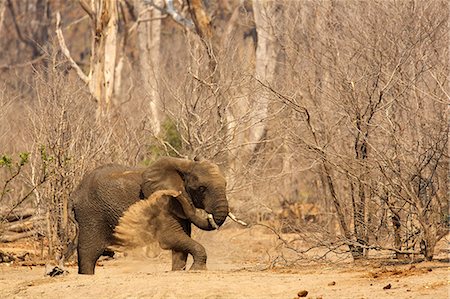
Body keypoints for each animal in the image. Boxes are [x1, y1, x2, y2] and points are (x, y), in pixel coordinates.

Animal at [70, 158, 229, 276]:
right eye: (202, 188)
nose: (177, 194)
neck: (184, 165)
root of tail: (75, 193)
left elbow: (181, 242)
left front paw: (178, 271)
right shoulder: (163, 203)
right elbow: (170, 237)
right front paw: (197, 269)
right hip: (90, 215)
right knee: (89, 253)